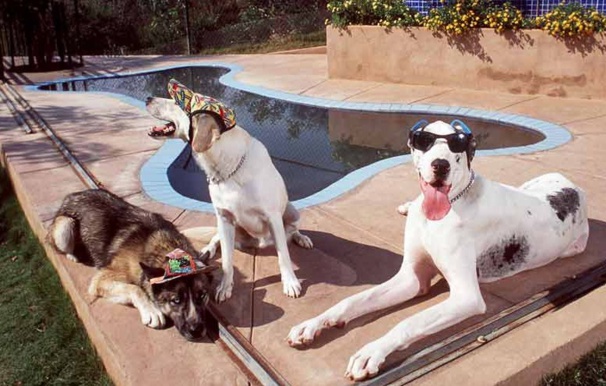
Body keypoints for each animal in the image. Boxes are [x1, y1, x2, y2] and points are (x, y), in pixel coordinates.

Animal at [48, 188, 218, 342]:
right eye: (175, 300)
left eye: (202, 296)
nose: (197, 331)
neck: (164, 249)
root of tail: (70, 197)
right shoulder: (101, 280)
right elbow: (135, 288)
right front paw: (151, 310)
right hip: (65, 227)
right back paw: (74, 255)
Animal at [144, 79, 314, 302]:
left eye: (175, 102)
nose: (147, 98)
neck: (226, 168)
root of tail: (258, 243)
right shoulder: (224, 217)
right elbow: (226, 262)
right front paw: (225, 286)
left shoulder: (273, 217)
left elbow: (283, 255)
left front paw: (290, 282)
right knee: (216, 238)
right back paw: (207, 250)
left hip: (292, 211)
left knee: (291, 232)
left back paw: (301, 238)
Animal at [288, 120, 592, 380]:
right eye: (425, 141)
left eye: (457, 146)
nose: (440, 165)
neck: (448, 206)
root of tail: (573, 186)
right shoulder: (411, 278)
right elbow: (352, 301)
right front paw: (314, 323)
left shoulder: (466, 297)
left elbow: (409, 321)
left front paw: (372, 351)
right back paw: (407, 205)